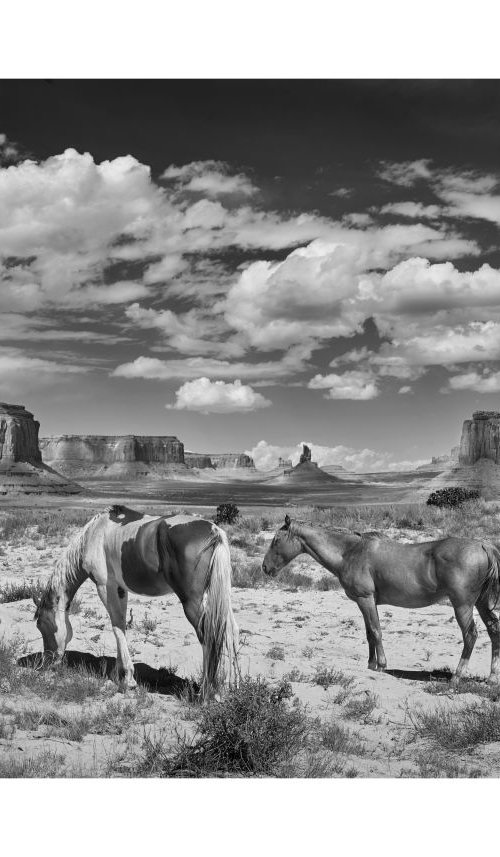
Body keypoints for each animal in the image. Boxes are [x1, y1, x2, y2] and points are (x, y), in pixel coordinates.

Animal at [33, 508, 240, 696]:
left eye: (42, 625)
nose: (46, 662)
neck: (94, 534)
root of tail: (214, 532)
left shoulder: (105, 587)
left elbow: (116, 627)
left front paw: (128, 680)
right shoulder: (120, 589)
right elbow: (122, 627)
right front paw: (118, 675)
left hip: (193, 602)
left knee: (208, 635)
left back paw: (207, 693)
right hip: (219, 597)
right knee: (229, 631)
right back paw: (229, 687)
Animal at [262, 512, 500, 684]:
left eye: (276, 540)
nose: (265, 568)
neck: (350, 552)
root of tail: (483, 545)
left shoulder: (365, 599)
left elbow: (376, 631)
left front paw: (382, 665)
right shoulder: (367, 602)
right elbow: (369, 633)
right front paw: (371, 665)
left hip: (462, 605)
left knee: (471, 635)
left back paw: (457, 677)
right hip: (481, 603)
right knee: (493, 629)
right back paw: (492, 678)